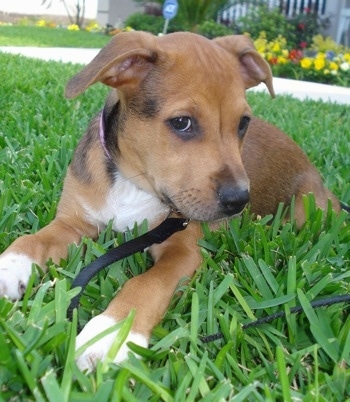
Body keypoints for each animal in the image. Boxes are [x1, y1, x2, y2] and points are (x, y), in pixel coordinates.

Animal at [0, 31, 342, 370]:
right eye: (181, 122)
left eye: (243, 122)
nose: (238, 201)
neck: (134, 182)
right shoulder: (74, 222)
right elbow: (33, 240)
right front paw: (9, 267)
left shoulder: (182, 249)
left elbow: (146, 284)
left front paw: (112, 334)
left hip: (306, 207)